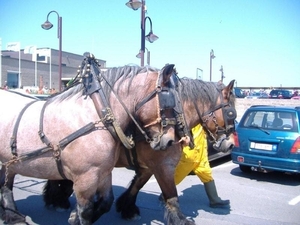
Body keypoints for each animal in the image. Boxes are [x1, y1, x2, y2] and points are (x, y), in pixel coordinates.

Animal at [0, 55, 178, 225]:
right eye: (168, 100)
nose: (170, 141)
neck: (99, 114)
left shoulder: (104, 173)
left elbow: (106, 203)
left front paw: (73, 218)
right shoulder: (85, 179)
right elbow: (86, 211)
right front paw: (77, 216)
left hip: (8, 162)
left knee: (6, 184)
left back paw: (12, 214)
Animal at [44, 76, 237, 224]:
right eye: (231, 114)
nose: (231, 145)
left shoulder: (148, 166)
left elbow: (137, 185)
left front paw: (127, 207)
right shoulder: (162, 166)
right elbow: (171, 195)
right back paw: (57, 199)